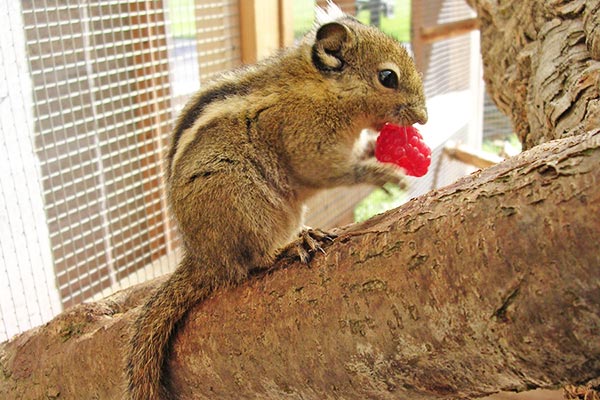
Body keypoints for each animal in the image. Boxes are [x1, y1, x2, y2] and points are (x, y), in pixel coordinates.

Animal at [126, 3, 426, 400]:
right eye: (388, 77)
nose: (423, 117)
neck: (321, 89)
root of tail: (203, 257)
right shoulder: (305, 140)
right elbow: (323, 171)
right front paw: (378, 172)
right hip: (241, 201)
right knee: (253, 260)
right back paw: (289, 247)